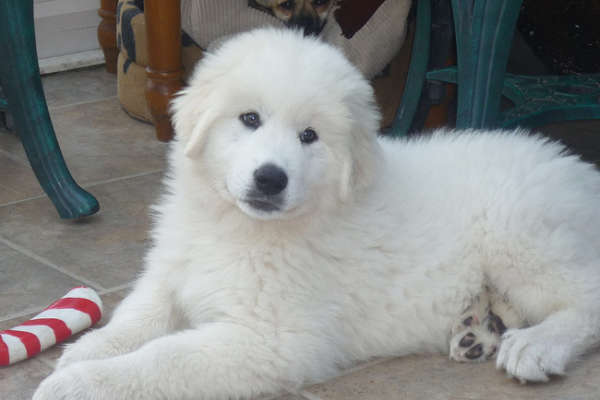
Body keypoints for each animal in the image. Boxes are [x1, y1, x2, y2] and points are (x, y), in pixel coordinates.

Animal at [34, 28, 600, 400]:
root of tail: (578, 170)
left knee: (584, 296)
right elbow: (139, 315)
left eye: (309, 136)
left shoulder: (270, 341)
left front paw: (79, 384)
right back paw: (478, 330)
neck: (241, 228)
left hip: (523, 238)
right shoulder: (172, 270)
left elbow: (165, 358)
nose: (270, 178)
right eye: (249, 119)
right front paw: (89, 350)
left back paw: (536, 347)